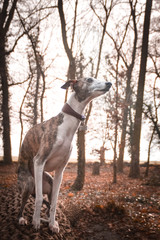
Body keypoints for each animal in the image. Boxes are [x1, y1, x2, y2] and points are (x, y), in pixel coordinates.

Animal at [17, 77, 111, 232]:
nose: (109, 83)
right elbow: (39, 199)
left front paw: (52, 224)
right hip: (29, 182)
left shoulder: (60, 170)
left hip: (49, 182)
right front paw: (36, 221)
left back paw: (48, 219)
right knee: (25, 202)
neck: (67, 126)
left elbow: (55, 202)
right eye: (89, 80)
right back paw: (22, 218)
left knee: (48, 203)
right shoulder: (39, 161)